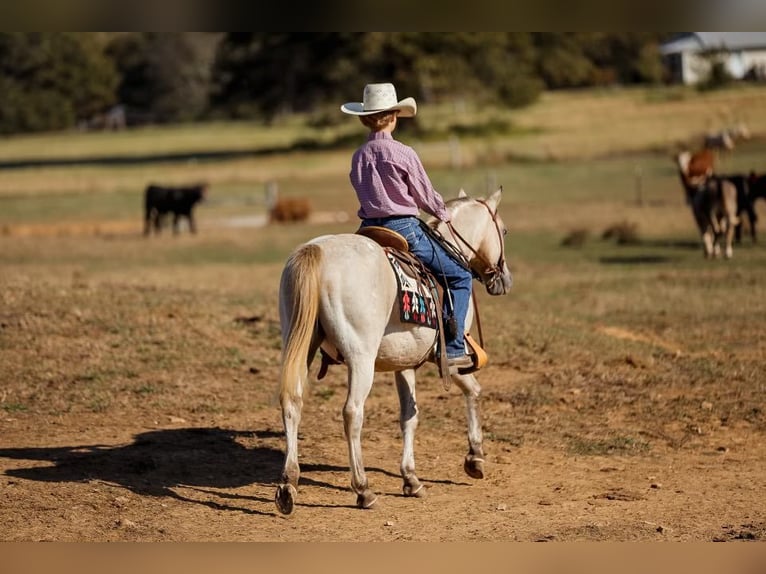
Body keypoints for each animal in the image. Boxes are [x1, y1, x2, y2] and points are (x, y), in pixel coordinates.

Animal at [272, 189, 512, 516]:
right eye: (504, 230)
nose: (504, 279)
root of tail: (317, 251)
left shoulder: (405, 362)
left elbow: (409, 416)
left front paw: (411, 479)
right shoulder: (449, 359)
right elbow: (473, 391)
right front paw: (475, 458)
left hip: (299, 344)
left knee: (292, 402)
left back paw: (288, 484)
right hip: (360, 359)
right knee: (352, 412)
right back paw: (363, 490)